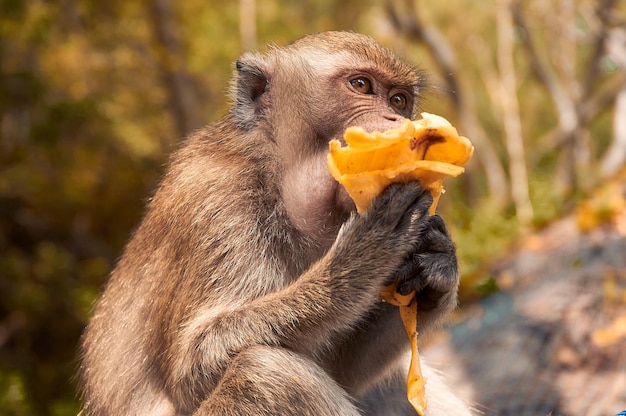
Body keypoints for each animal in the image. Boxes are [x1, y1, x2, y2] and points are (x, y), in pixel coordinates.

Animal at [77, 30, 468, 414]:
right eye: (361, 85)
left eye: (399, 100)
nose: (399, 122)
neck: (275, 174)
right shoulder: (218, 202)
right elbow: (192, 367)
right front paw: (356, 262)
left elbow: (341, 370)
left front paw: (438, 267)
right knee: (264, 372)